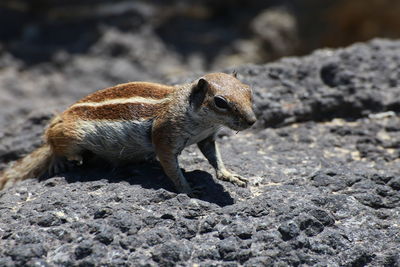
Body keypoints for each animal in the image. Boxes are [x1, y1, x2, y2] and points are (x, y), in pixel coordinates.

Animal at [0, 72, 256, 196]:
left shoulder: (207, 138)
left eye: (249, 91)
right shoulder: (164, 138)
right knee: (52, 143)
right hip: (70, 136)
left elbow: (215, 157)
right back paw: (57, 160)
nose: (252, 121)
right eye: (220, 102)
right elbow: (172, 169)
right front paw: (188, 189)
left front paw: (230, 175)